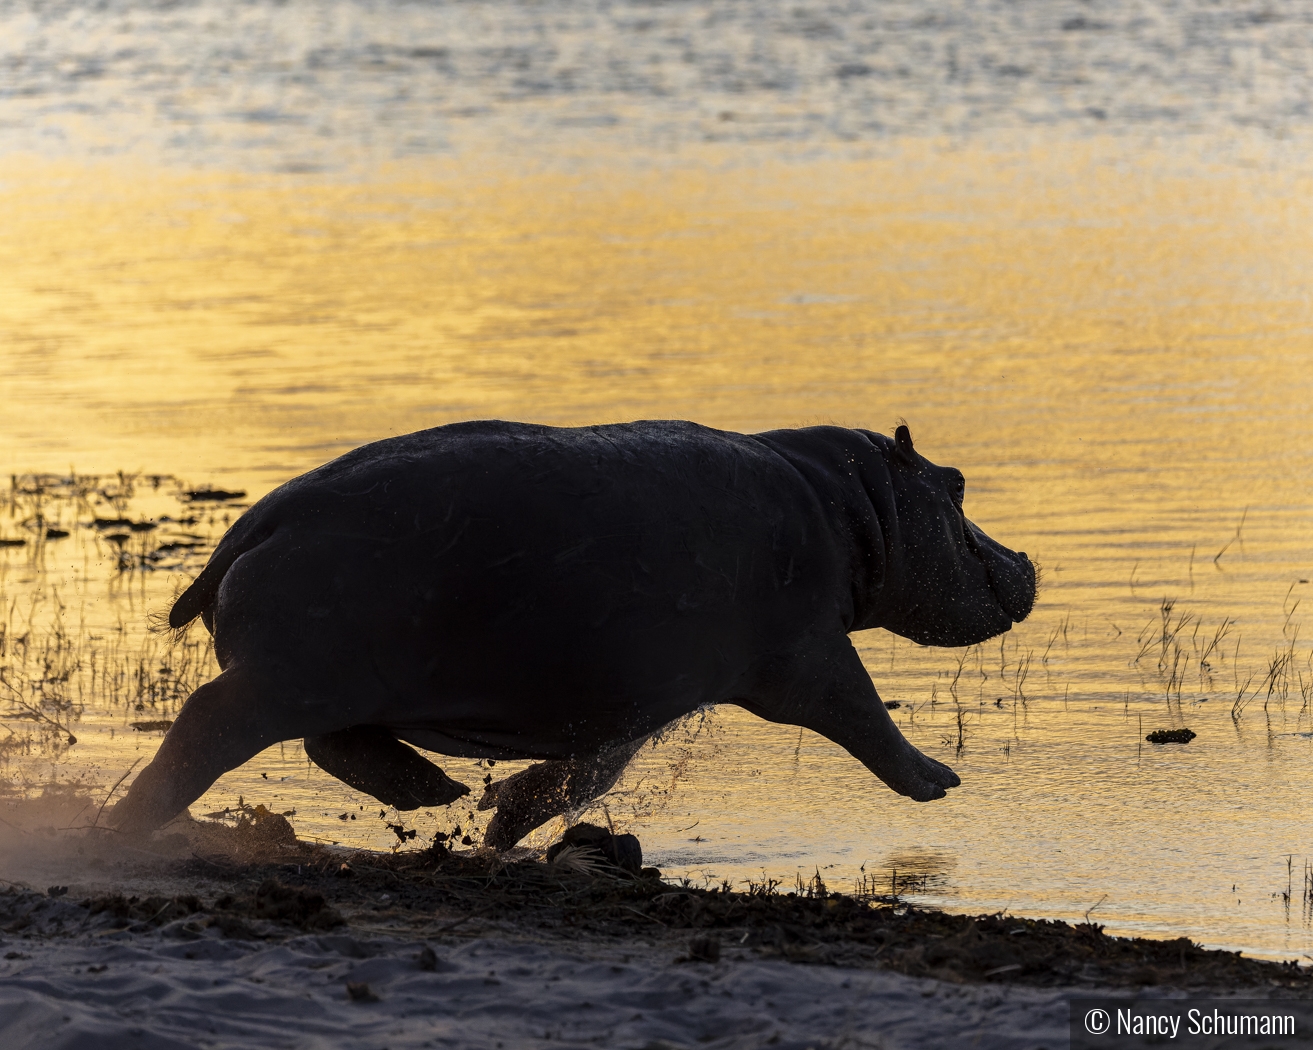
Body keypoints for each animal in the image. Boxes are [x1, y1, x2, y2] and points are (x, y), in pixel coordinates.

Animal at [110, 417, 1034, 845]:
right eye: (956, 482)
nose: (1026, 560)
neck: (856, 507)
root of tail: (256, 521)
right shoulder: (805, 655)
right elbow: (864, 713)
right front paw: (939, 781)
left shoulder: (631, 693)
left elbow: (586, 772)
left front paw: (499, 822)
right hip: (284, 679)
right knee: (209, 729)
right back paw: (121, 828)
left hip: (322, 679)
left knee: (335, 746)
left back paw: (435, 793)